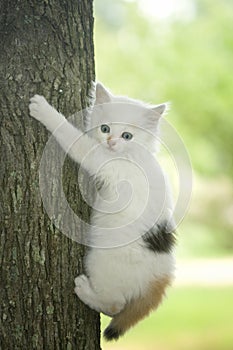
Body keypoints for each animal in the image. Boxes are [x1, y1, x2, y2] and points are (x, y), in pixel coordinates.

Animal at [28, 82, 175, 340]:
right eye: (105, 128)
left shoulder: (102, 159)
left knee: (115, 304)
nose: (111, 142)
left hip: (102, 260)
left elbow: (73, 138)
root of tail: (161, 277)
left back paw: (85, 291)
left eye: (127, 136)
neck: (131, 154)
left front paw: (43, 109)